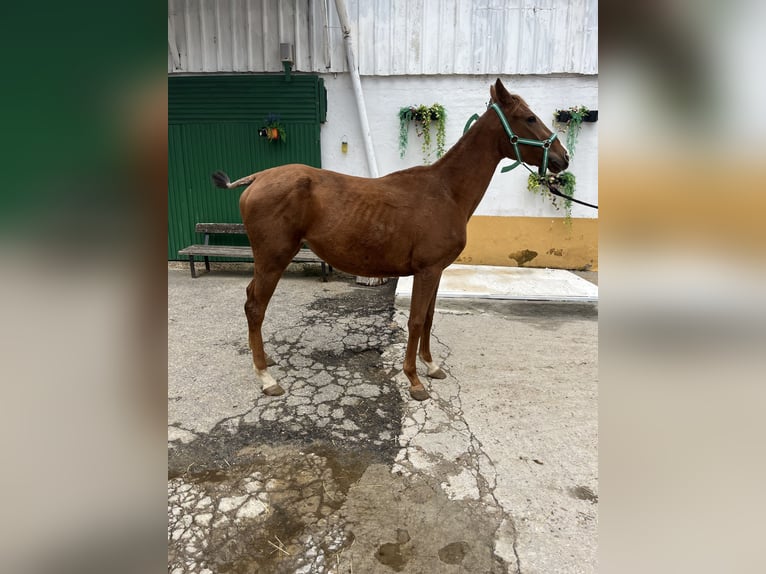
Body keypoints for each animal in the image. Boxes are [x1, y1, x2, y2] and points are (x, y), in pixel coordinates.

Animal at [213, 79, 568, 402]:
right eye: (529, 118)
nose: (563, 158)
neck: (447, 191)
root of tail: (257, 178)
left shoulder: (436, 271)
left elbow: (428, 319)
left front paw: (431, 365)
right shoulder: (426, 271)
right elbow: (415, 321)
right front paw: (414, 380)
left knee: (252, 303)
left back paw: (266, 359)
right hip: (273, 258)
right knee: (255, 306)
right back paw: (266, 377)